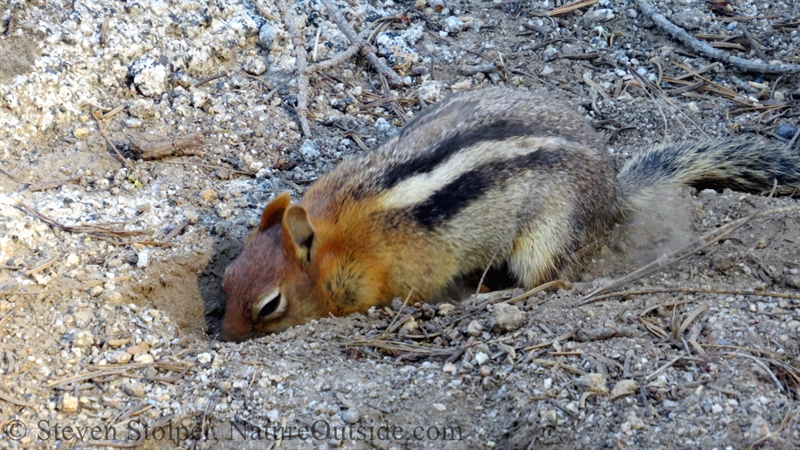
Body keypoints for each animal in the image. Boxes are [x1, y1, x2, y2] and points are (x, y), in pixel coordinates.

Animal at [219, 88, 800, 342]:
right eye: (226, 278)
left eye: (269, 305)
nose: (223, 337)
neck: (342, 233)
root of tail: (612, 189)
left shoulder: (409, 273)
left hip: (547, 234)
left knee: (547, 280)